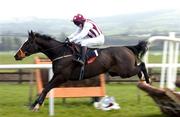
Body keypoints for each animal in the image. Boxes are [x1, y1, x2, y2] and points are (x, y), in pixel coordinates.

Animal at [13, 30, 149, 110]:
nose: (16, 55)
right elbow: (45, 87)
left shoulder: (62, 76)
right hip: (116, 72)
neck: (61, 52)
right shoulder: (57, 75)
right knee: (139, 67)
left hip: (125, 71)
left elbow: (46, 88)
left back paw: (147, 80)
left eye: (27, 43)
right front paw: (34, 104)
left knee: (142, 65)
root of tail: (127, 48)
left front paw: (36, 105)